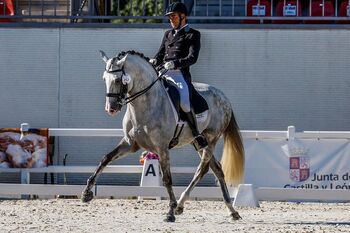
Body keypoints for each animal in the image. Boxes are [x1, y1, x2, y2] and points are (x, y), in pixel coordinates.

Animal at [81, 49, 246, 222]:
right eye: (104, 78)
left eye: (119, 80)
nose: (111, 108)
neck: (147, 104)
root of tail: (224, 97)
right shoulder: (130, 143)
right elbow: (106, 159)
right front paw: (86, 193)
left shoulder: (162, 148)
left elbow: (167, 179)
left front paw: (170, 212)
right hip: (197, 142)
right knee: (216, 168)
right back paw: (230, 211)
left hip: (210, 139)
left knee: (202, 168)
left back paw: (182, 205)